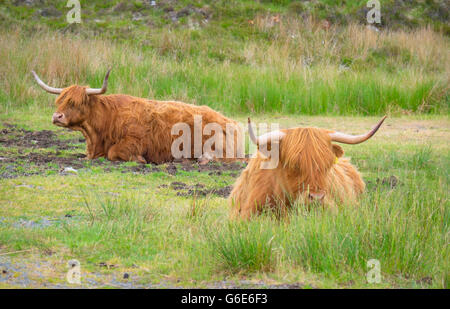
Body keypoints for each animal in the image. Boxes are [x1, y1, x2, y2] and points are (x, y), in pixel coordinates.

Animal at [31, 69, 241, 164]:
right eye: (60, 101)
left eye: (76, 103)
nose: (57, 116)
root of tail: (230, 121)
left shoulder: (134, 141)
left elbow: (114, 152)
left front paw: (140, 160)